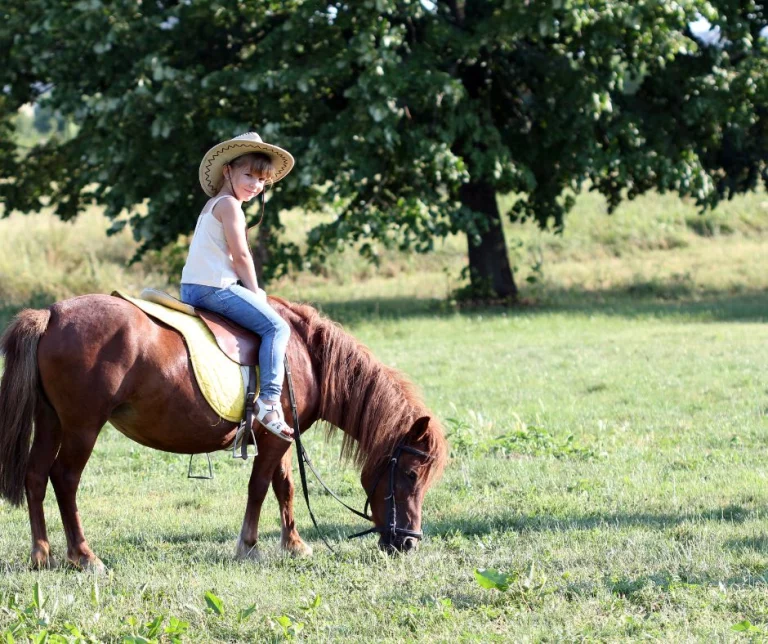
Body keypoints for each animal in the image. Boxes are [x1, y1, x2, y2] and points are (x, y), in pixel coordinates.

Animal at [0, 294, 448, 571]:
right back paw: (83, 555)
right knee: (64, 480)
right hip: (82, 427)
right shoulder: (274, 439)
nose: (409, 542)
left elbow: (284, 487)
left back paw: (41, 554)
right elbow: (259, 487)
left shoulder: (280, 438)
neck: (305, 355)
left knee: (35, 477)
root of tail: (52, 315)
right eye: (411, 474)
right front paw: (248, 546)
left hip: (51, 421)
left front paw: (294, 543)